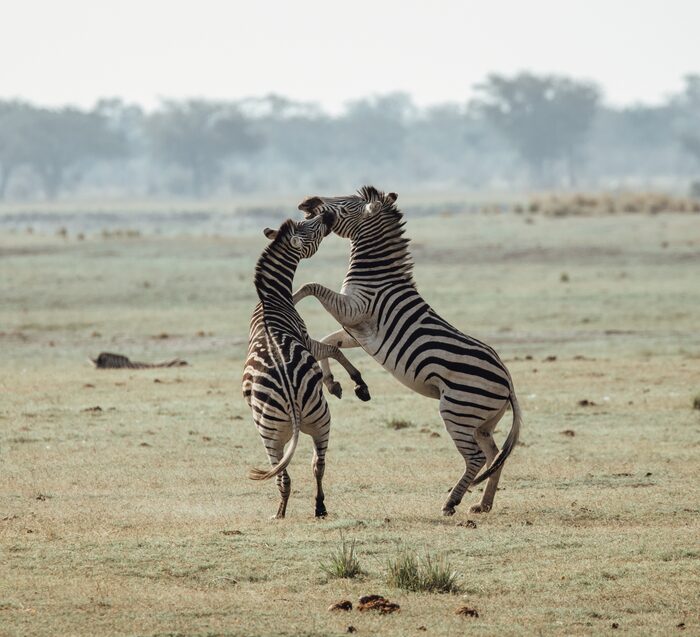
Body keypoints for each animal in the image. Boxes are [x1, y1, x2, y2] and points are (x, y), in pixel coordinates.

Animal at [242, 212, 371, 519]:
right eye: (311, 227)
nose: (327, 214)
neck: (270, 300)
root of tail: (290, 393)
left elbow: (332, 348)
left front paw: (339, 381)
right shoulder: (305, 337)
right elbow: (332, 348)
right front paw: (351, 382)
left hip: (278, 432)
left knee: (289, 473)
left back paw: (286, 511)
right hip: (319, 420)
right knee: (314, 466)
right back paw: (312, 507)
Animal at [294, 186, 522, 516]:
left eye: (345, 205)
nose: (306, 201)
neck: (375, 275)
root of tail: (508, 382)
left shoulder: (355, 309)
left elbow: (311, 287)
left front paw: (289, 298)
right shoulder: (358, 330)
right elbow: (329, 341)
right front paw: (341, 384)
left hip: (457, 410)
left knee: (477, 457)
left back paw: (451, 502)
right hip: (482, 422)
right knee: (494, 455)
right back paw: (483, 503)